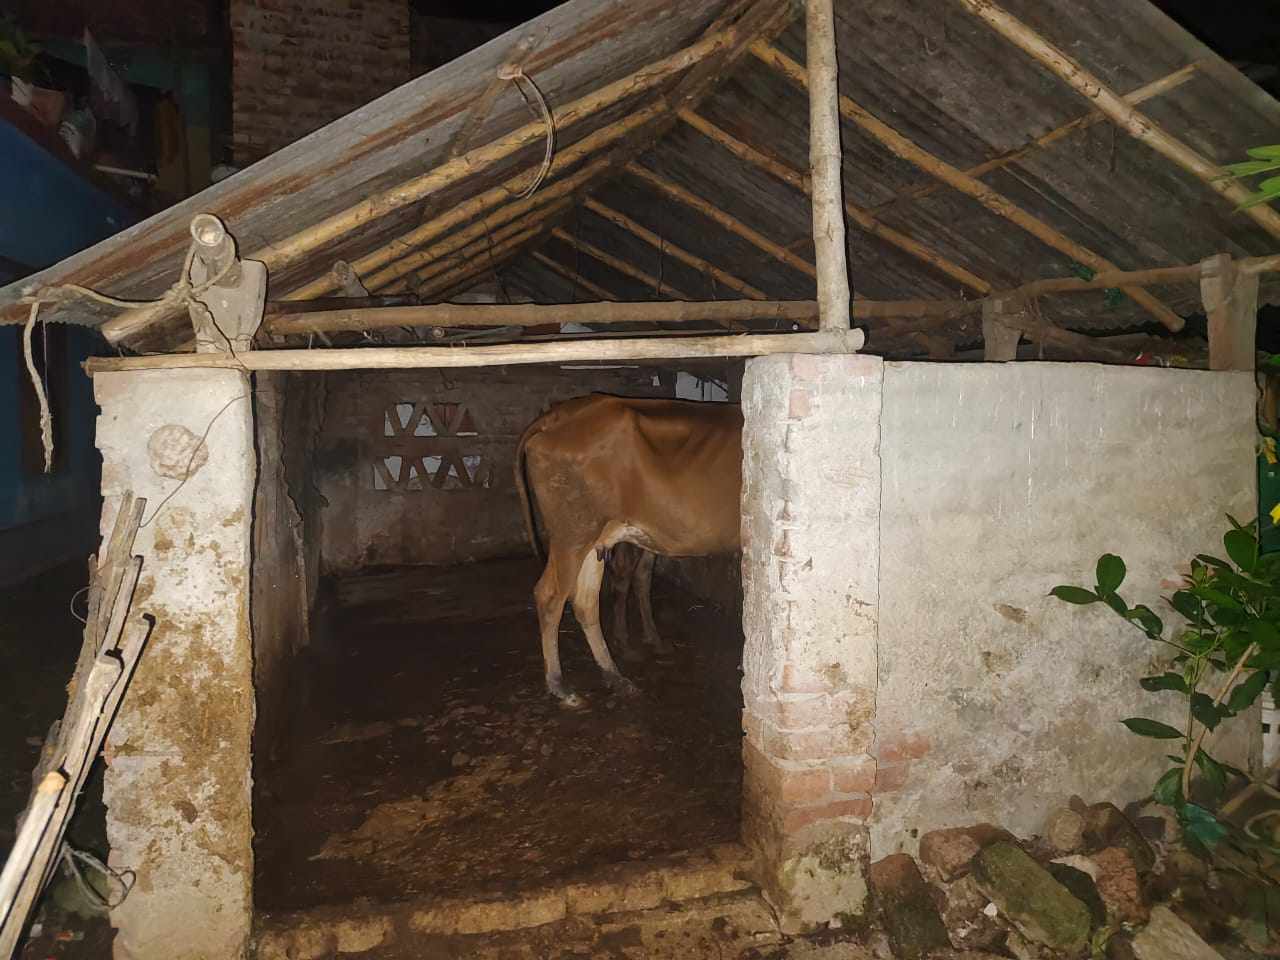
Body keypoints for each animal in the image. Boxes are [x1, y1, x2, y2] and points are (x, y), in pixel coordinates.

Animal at [514, 394, 743, 706]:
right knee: (549, 596)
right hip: (572, 534)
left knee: (585, 601)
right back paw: (560, 684)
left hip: (593, 540)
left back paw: (615, 676)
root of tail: (561, 414)